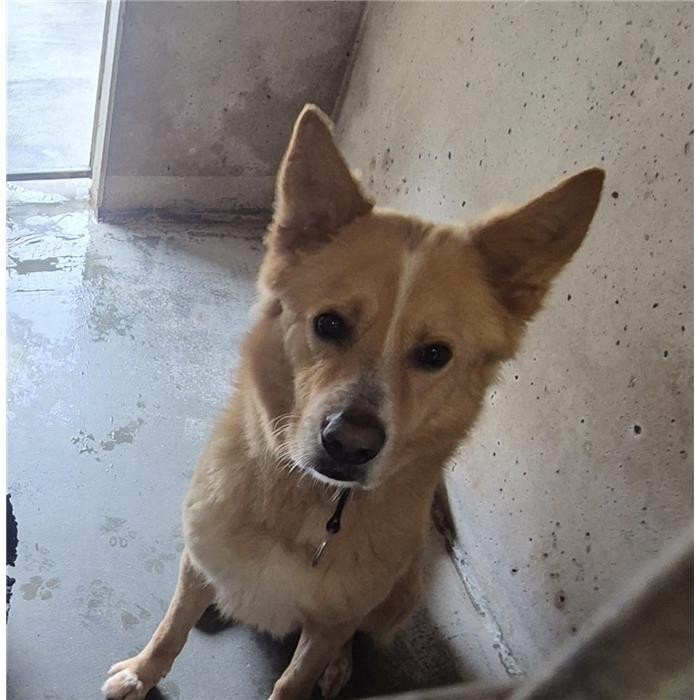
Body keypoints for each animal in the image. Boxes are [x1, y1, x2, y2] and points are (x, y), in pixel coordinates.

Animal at [102, 104, 604, 700]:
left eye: (435, 354)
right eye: (330, 323)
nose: (350, 444)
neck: (307, 501)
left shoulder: (330, 622)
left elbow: (295, 678)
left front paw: (313, 671)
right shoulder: (198, 558)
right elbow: (171, 628)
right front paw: (142, 671)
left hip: (394, 602)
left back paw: (337, 665)